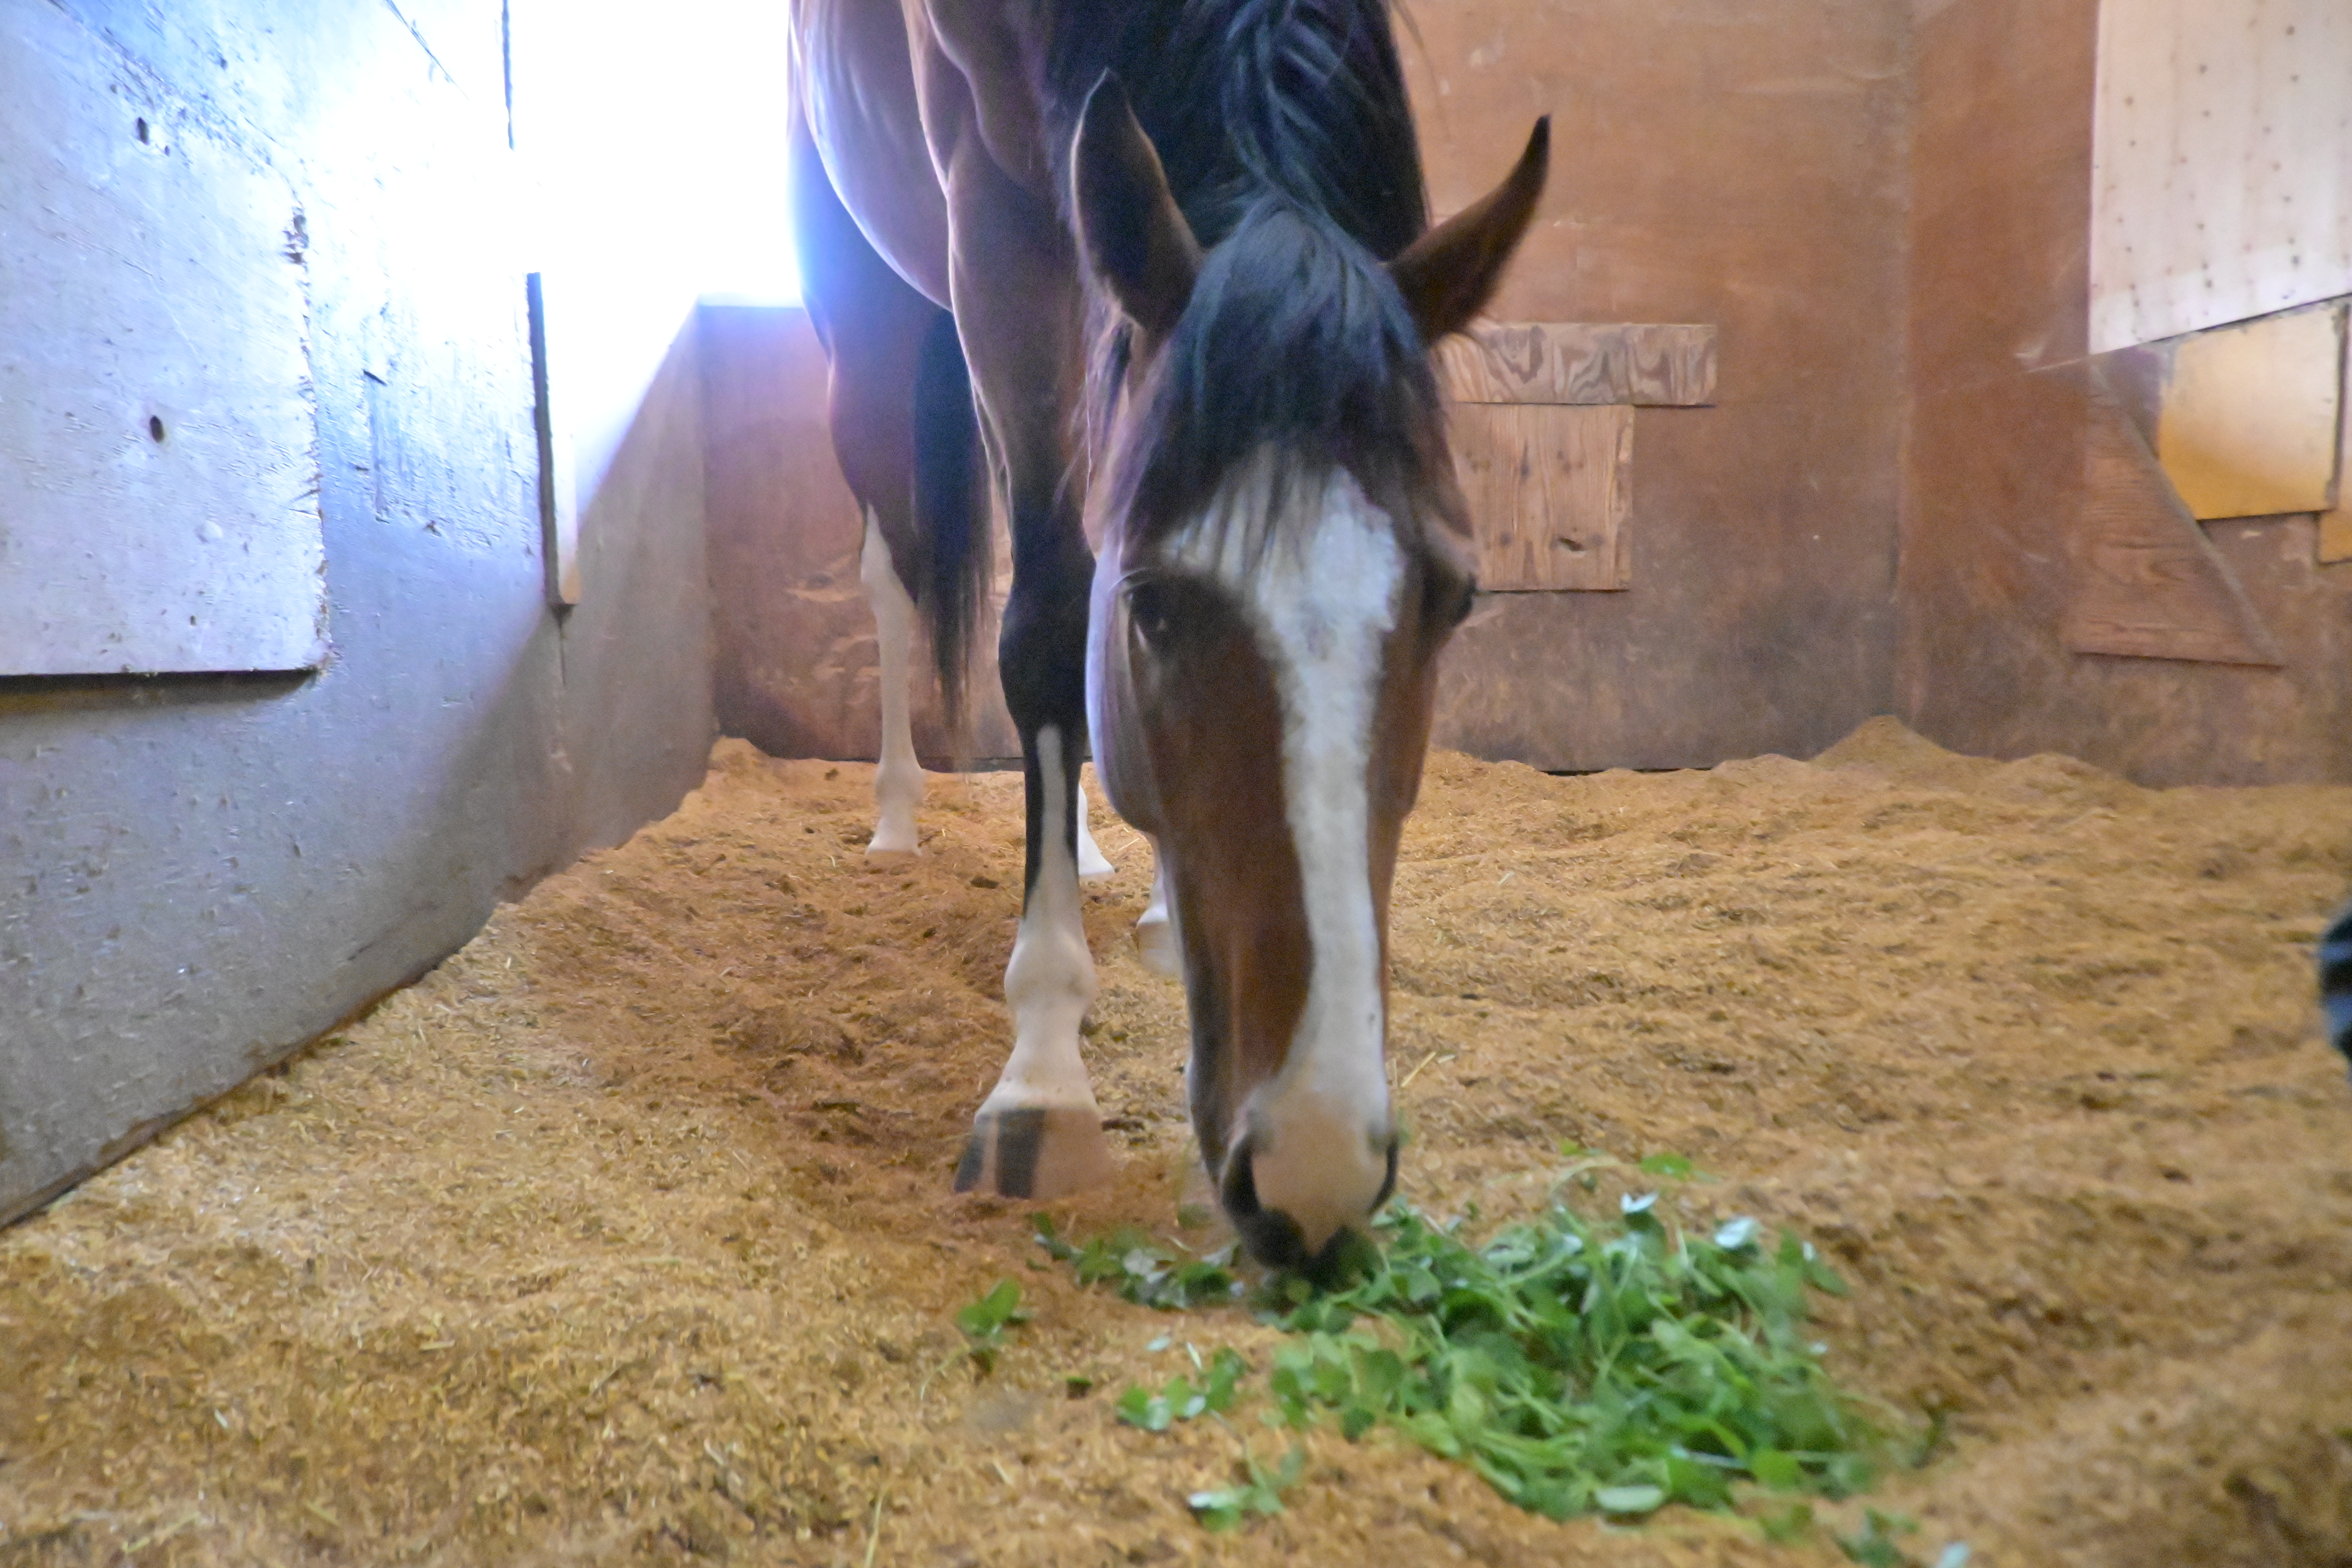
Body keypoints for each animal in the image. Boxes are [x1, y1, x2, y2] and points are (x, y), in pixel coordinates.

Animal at [787, 0, 1548, 1276]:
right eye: (1149, 603)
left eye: (1456, 597)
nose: (1312, 1169)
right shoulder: (998, 236)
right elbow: (1049, 623)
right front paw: (1042, 1081)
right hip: (868, 313)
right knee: (894, 573)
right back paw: (896, 816)